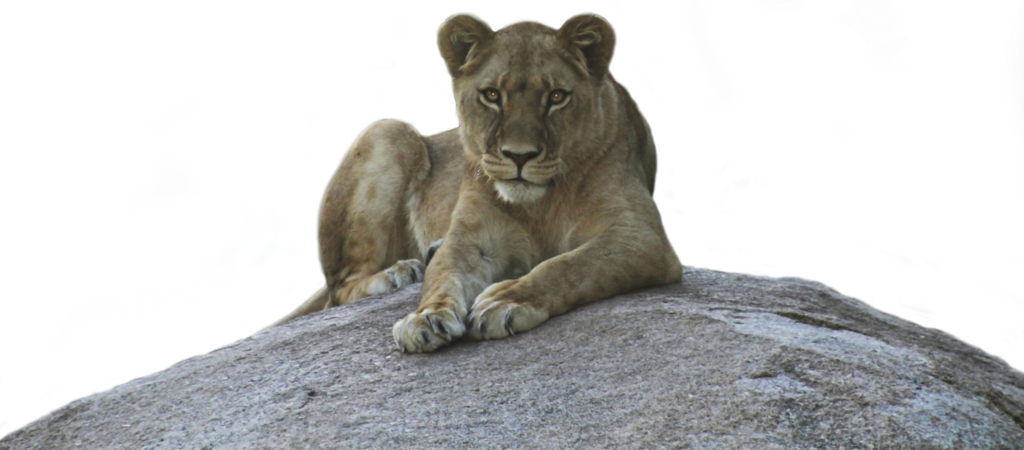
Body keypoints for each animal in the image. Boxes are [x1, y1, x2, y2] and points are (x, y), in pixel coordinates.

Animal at [271, 11, 682, 353]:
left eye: (556, 97)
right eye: (492, 95)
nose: (519, 156)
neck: (541, 204)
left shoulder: (641, 237)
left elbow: (571, 265)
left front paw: (509, 300)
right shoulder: (472, 238)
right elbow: (444, 276)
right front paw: (425, 317)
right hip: (389, 129)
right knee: (340, 288)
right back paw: (398, 273)